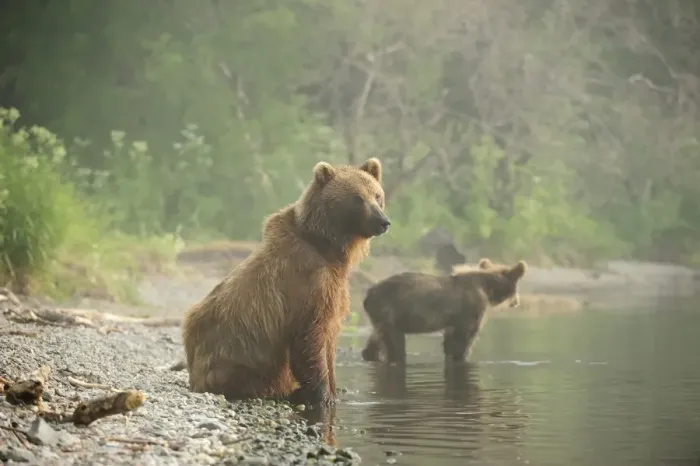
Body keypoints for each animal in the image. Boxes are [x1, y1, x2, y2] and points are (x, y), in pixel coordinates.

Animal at [182, 157, 390, 406]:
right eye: (357, 198)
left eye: (377, 195)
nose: (382, 221)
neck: (328, 248)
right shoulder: (307, 281)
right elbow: (310, 337)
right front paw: (323, 395)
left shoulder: (335, 287)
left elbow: (329, 339)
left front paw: (335, 389)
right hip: (236, 356)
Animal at [360, 258, 527, 363]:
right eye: (517, 286)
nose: (516, 302)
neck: (487, 288)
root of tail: (367, 295)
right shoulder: (471, 310)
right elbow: (463, 340)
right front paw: (461, 356)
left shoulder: (453, 320)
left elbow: (450, 340)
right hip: (390, 312)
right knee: (395, 344)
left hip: (380, 317)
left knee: (376, 340)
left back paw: (370, 354)